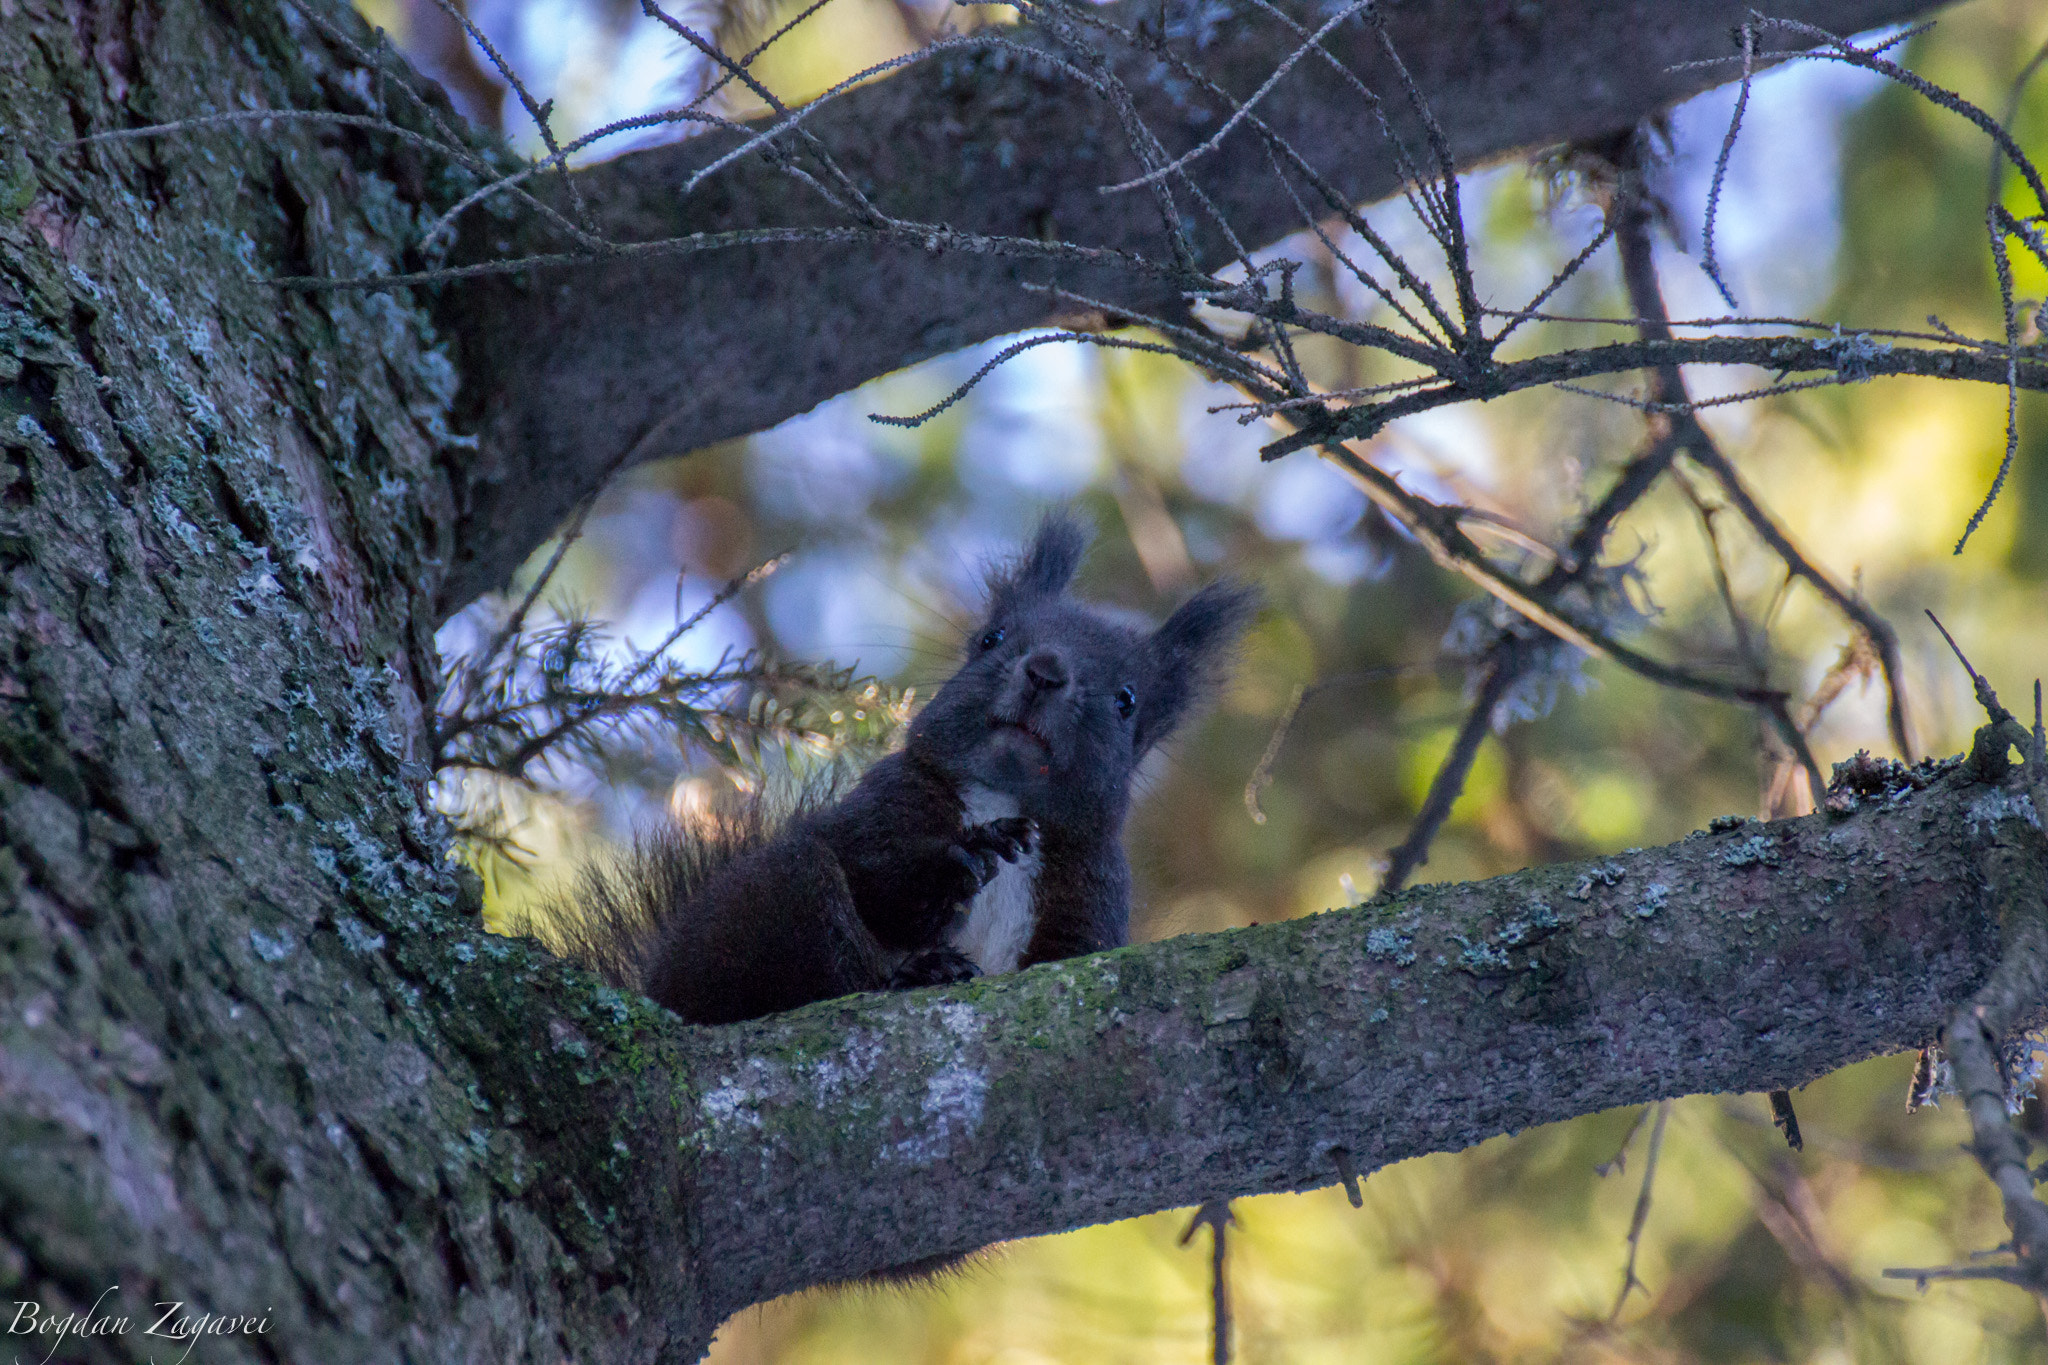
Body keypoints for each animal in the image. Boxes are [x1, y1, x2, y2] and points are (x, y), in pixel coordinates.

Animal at [553, 515, 1259, 1026]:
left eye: (1126, 701)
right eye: (992, 639)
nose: (1045, 671)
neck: (1001, 794)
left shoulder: (1091, 895)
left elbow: (1073, 957)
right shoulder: (883, 805)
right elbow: (879, 884)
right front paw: (963, 856)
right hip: (769, 901)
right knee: (826, 959)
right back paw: (914, 971)